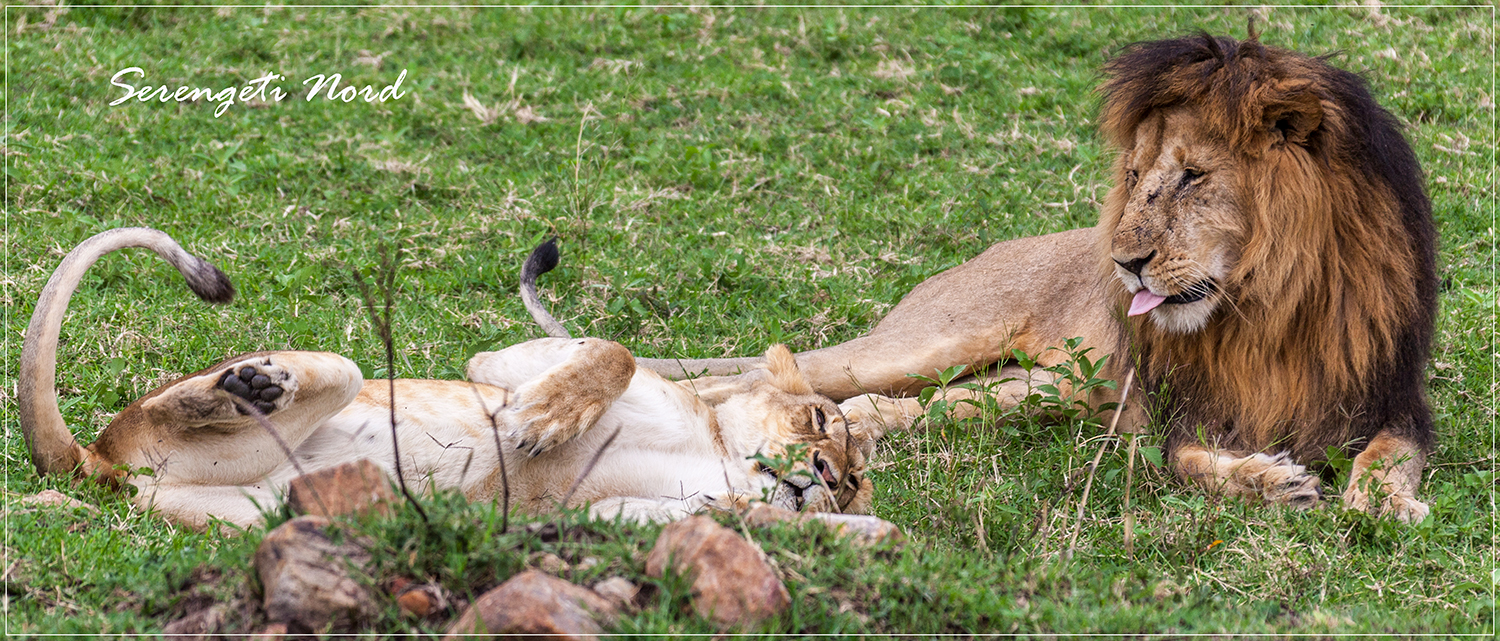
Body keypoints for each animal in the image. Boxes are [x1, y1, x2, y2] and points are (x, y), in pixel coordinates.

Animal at [17, 228, 876, 528]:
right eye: (822, 422)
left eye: (857, 487)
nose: (829, 477)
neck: (720, 453)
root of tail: (94, 460)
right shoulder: (506, 363)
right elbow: (614, 351)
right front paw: (539, 423)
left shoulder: (615, 509)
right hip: (341, 369)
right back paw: (251, 385)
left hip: (237, 511)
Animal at [630, 35, 1428, 525]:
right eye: (1134, 178)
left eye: (1193, 178)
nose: (1123, 264)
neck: (1267, 308)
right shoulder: (1176, 414)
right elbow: (1193, 464)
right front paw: (1274, 479)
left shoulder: (1389, 403)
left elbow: (1392, 457)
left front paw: (1382, 505)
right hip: (930, 342)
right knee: (770, 374)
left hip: (1042, 389)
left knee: (886, 404)